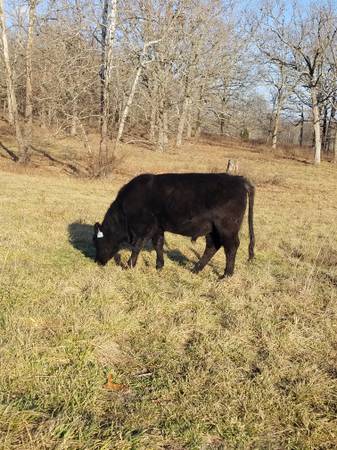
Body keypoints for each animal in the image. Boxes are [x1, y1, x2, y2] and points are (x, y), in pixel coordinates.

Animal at [92, 173, 255, 276]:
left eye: (97, 242)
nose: (97, 262)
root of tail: (238, 179)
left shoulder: (145, 227)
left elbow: (137, 246)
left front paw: (129, 265)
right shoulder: (157, 227)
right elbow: (158, 245)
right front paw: (159, 266)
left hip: (227, 228)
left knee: (231, 247)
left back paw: (226, 275)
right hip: (212, 229)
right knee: (212, 247)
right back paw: (196, 269)